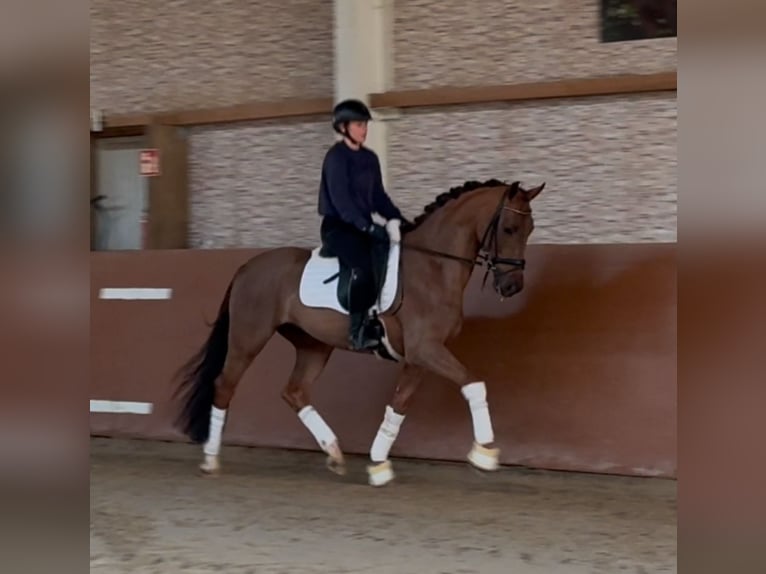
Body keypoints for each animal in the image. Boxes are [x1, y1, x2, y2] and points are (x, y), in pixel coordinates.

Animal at [174, 178, 544, 488]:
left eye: (530, 230)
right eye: (509, 228)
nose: (512, 286)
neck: (434, 268)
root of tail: (247, 267)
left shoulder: (418, 357)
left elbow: (398, 405)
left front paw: (378, 464)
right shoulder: (426, 350)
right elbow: (474, 384)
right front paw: (484, 453)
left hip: (314, 346)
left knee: (294, 392)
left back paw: (335, 453)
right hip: (248, 338)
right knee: (224, 386)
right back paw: (211, 460)